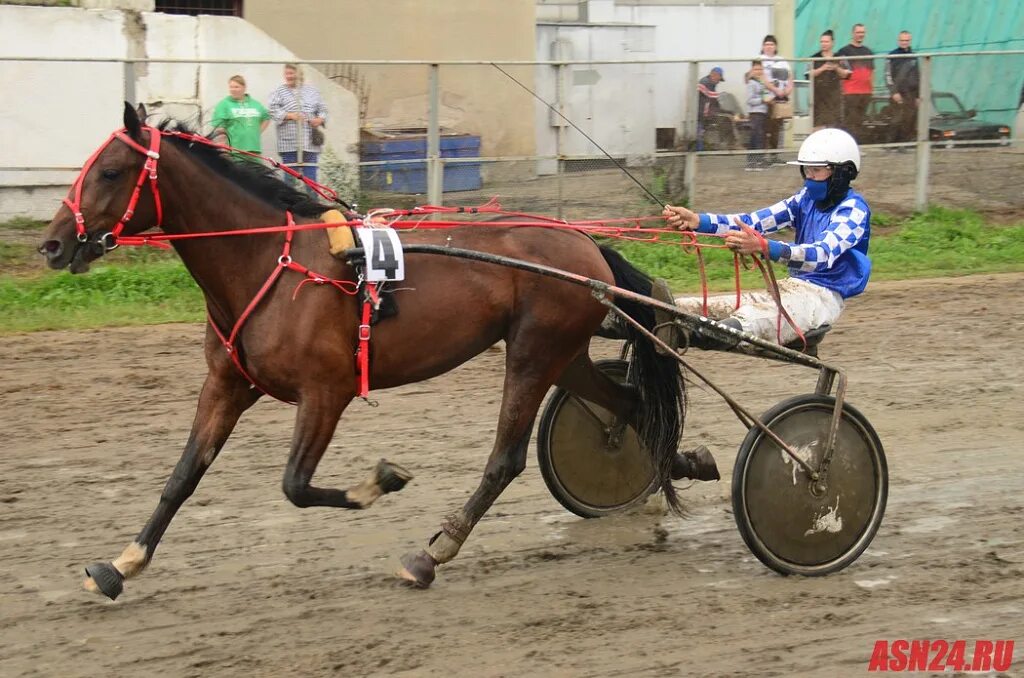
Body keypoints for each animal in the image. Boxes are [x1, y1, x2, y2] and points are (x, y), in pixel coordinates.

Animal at [39, 102, 708, 602]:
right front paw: (120, 564)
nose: (52, 245)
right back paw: (679, 461)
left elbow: (295, 485)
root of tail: (585, 245)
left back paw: (433, 553)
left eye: (110, 172)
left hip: (532, 354)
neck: (270, 263)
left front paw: (381, 481)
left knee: (506, 459)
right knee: (631, 404)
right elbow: (182, 476)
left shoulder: (326, 392)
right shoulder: (226, 385)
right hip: (562, 354)